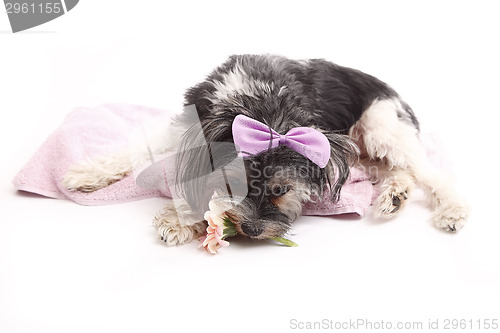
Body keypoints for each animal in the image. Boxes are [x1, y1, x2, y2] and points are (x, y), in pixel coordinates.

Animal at [62, 54, 468, 245]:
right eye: (232, 187)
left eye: (281, 190)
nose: (253, 229)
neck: (258, 105)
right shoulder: (186, 125)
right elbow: (137, 150)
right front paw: (86, 172)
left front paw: (180, 220)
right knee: (395, 170)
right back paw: (395, 196)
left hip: (381, 125)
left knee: (427, 172)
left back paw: (449, 209)